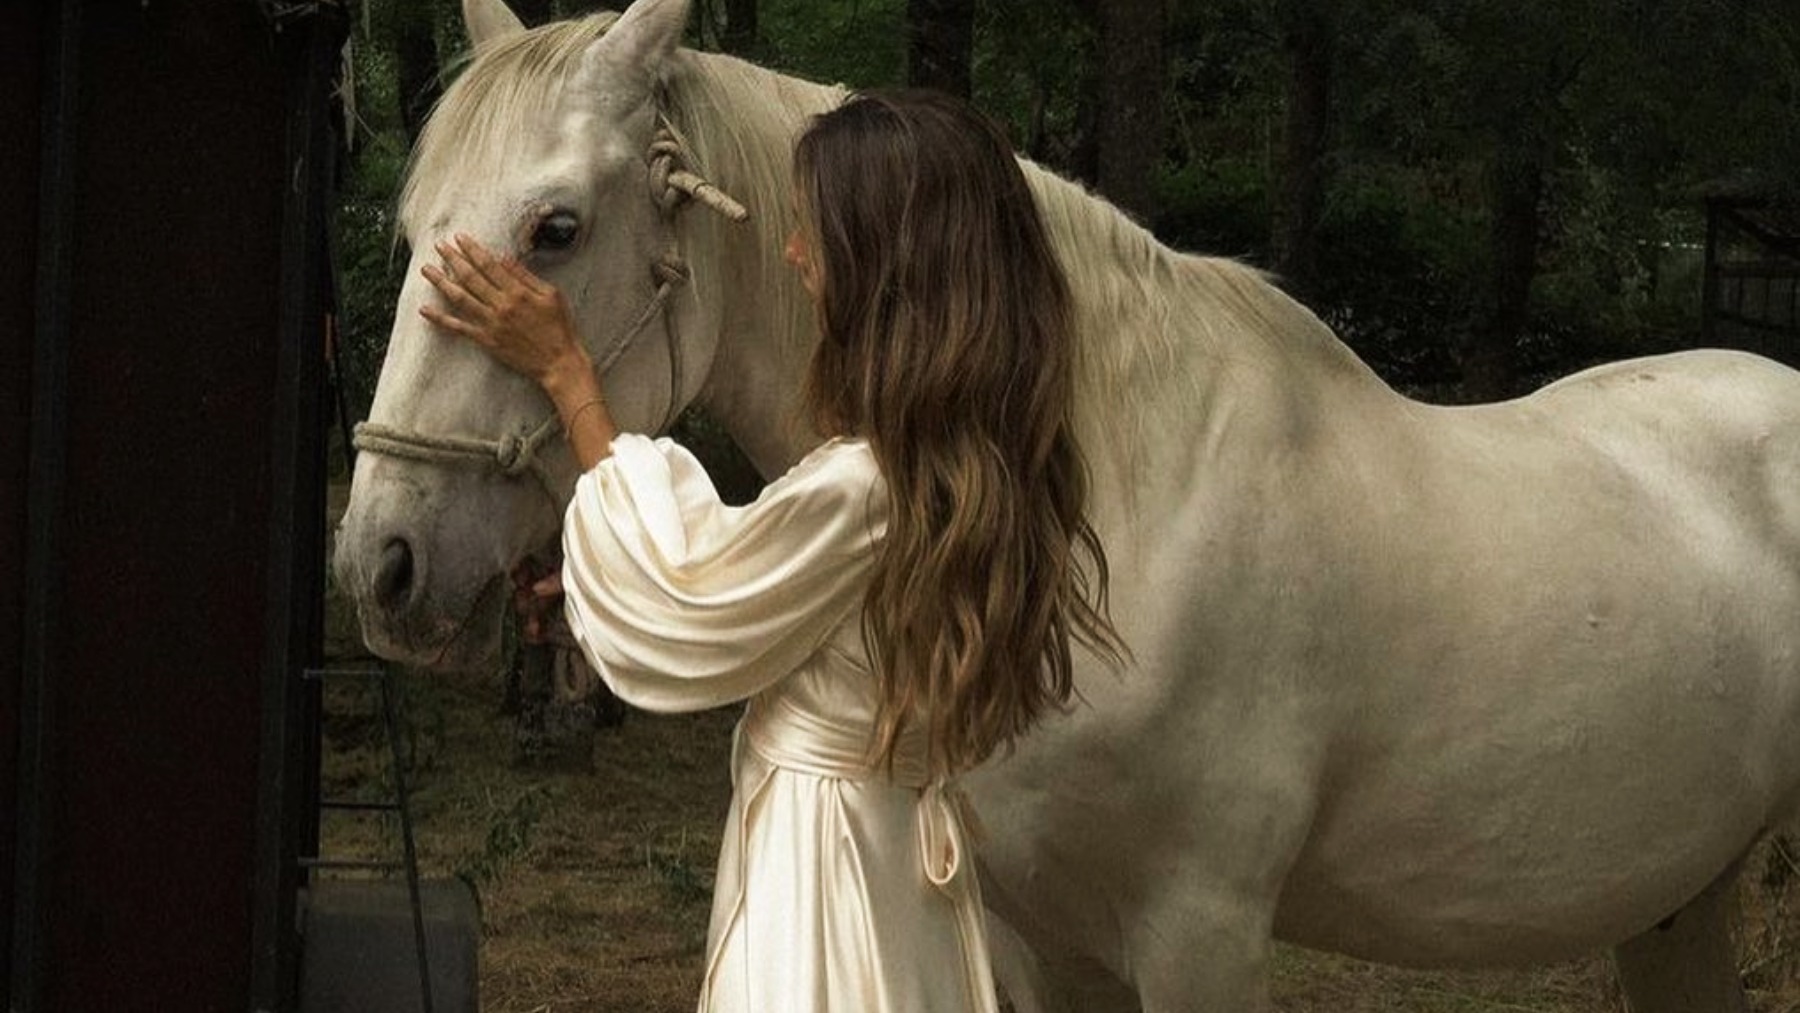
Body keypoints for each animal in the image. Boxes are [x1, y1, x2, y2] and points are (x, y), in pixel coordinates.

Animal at [331, 0, 1800, 1007]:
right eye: (408, 227)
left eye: (556, 230)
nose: (381, 562)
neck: (1113, 506)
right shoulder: (1036, 932)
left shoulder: (1201, 936)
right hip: (1679, 899)